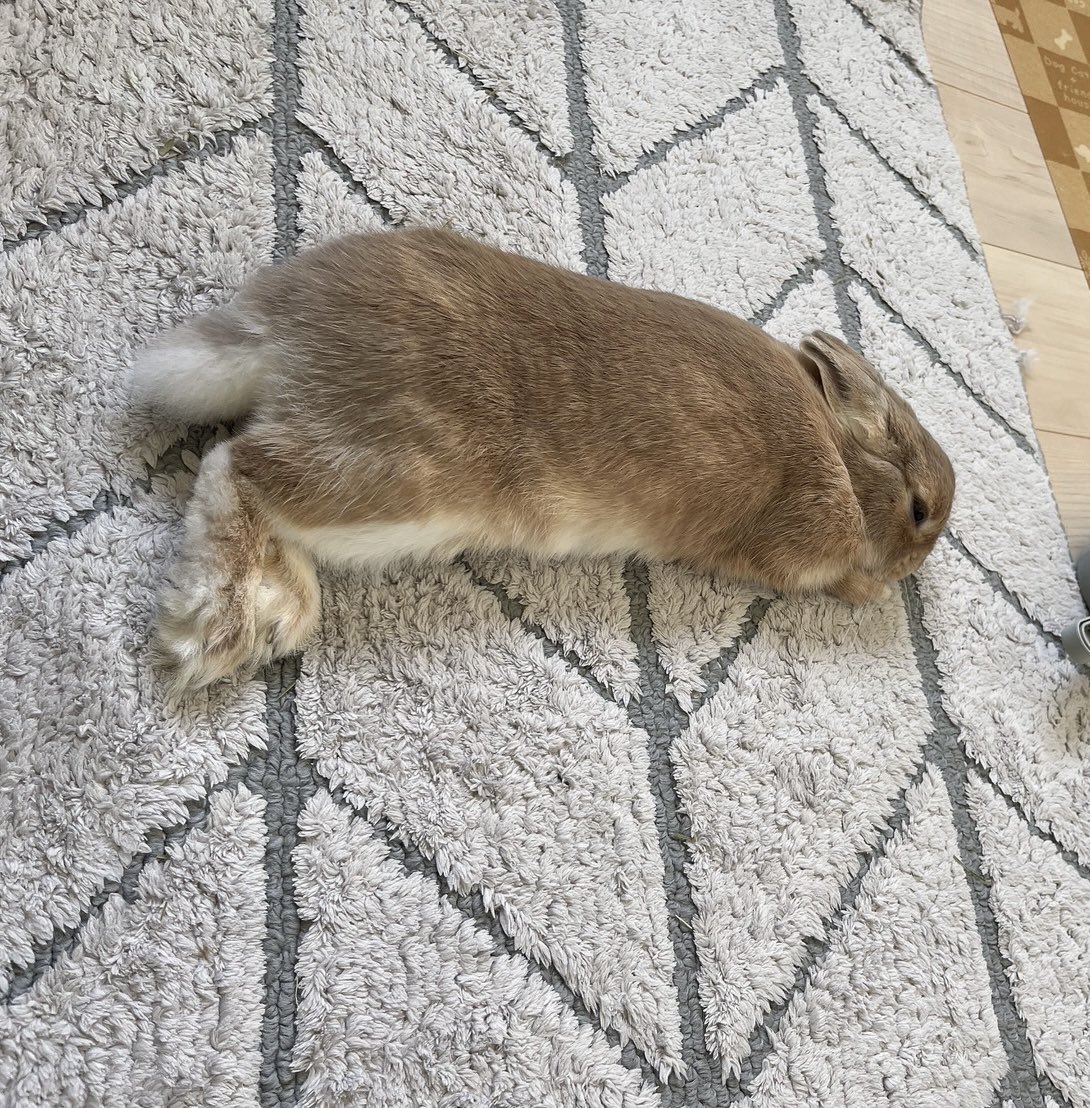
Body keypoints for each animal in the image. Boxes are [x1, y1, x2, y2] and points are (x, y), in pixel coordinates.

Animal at [129, 227, 955, 693]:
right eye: (922, 510)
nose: (910, 570)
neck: (846, 463)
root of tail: (280, 331)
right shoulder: (793, 544)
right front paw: (870, 591)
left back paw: (279, 608)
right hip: (396, 477)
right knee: (237, 465)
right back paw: (219, 630)